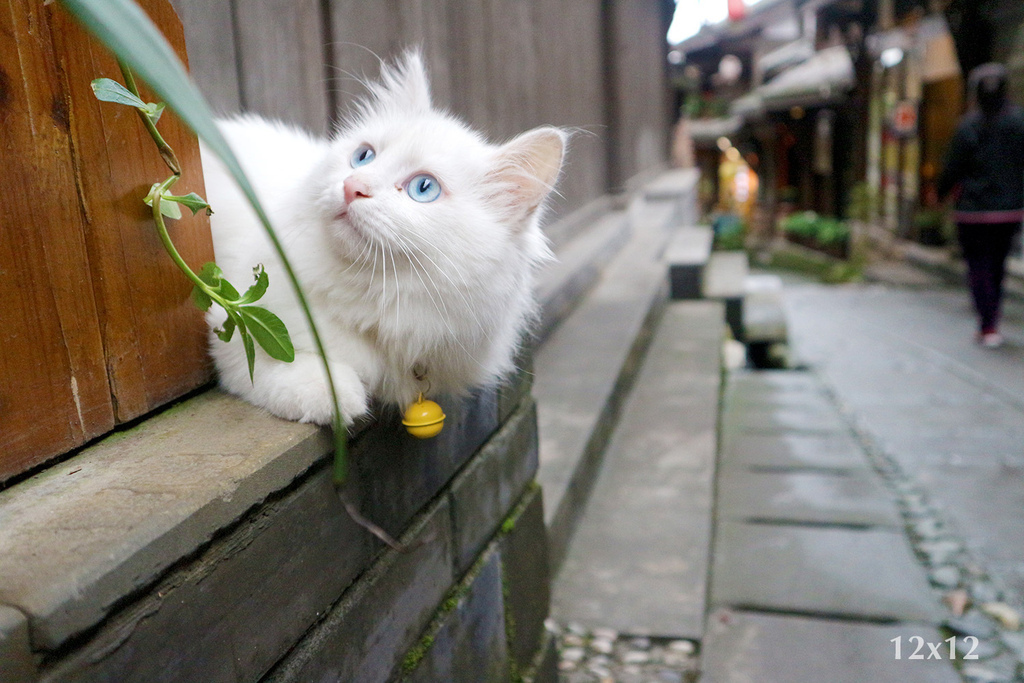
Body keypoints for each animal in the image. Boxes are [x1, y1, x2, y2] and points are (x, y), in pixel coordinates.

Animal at [199, 53, 569, 423]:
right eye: (364, 156)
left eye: (424, 188)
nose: (353, 186)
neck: (376, 305)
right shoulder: (234, 321)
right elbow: (285, 362)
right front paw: (336, 396)